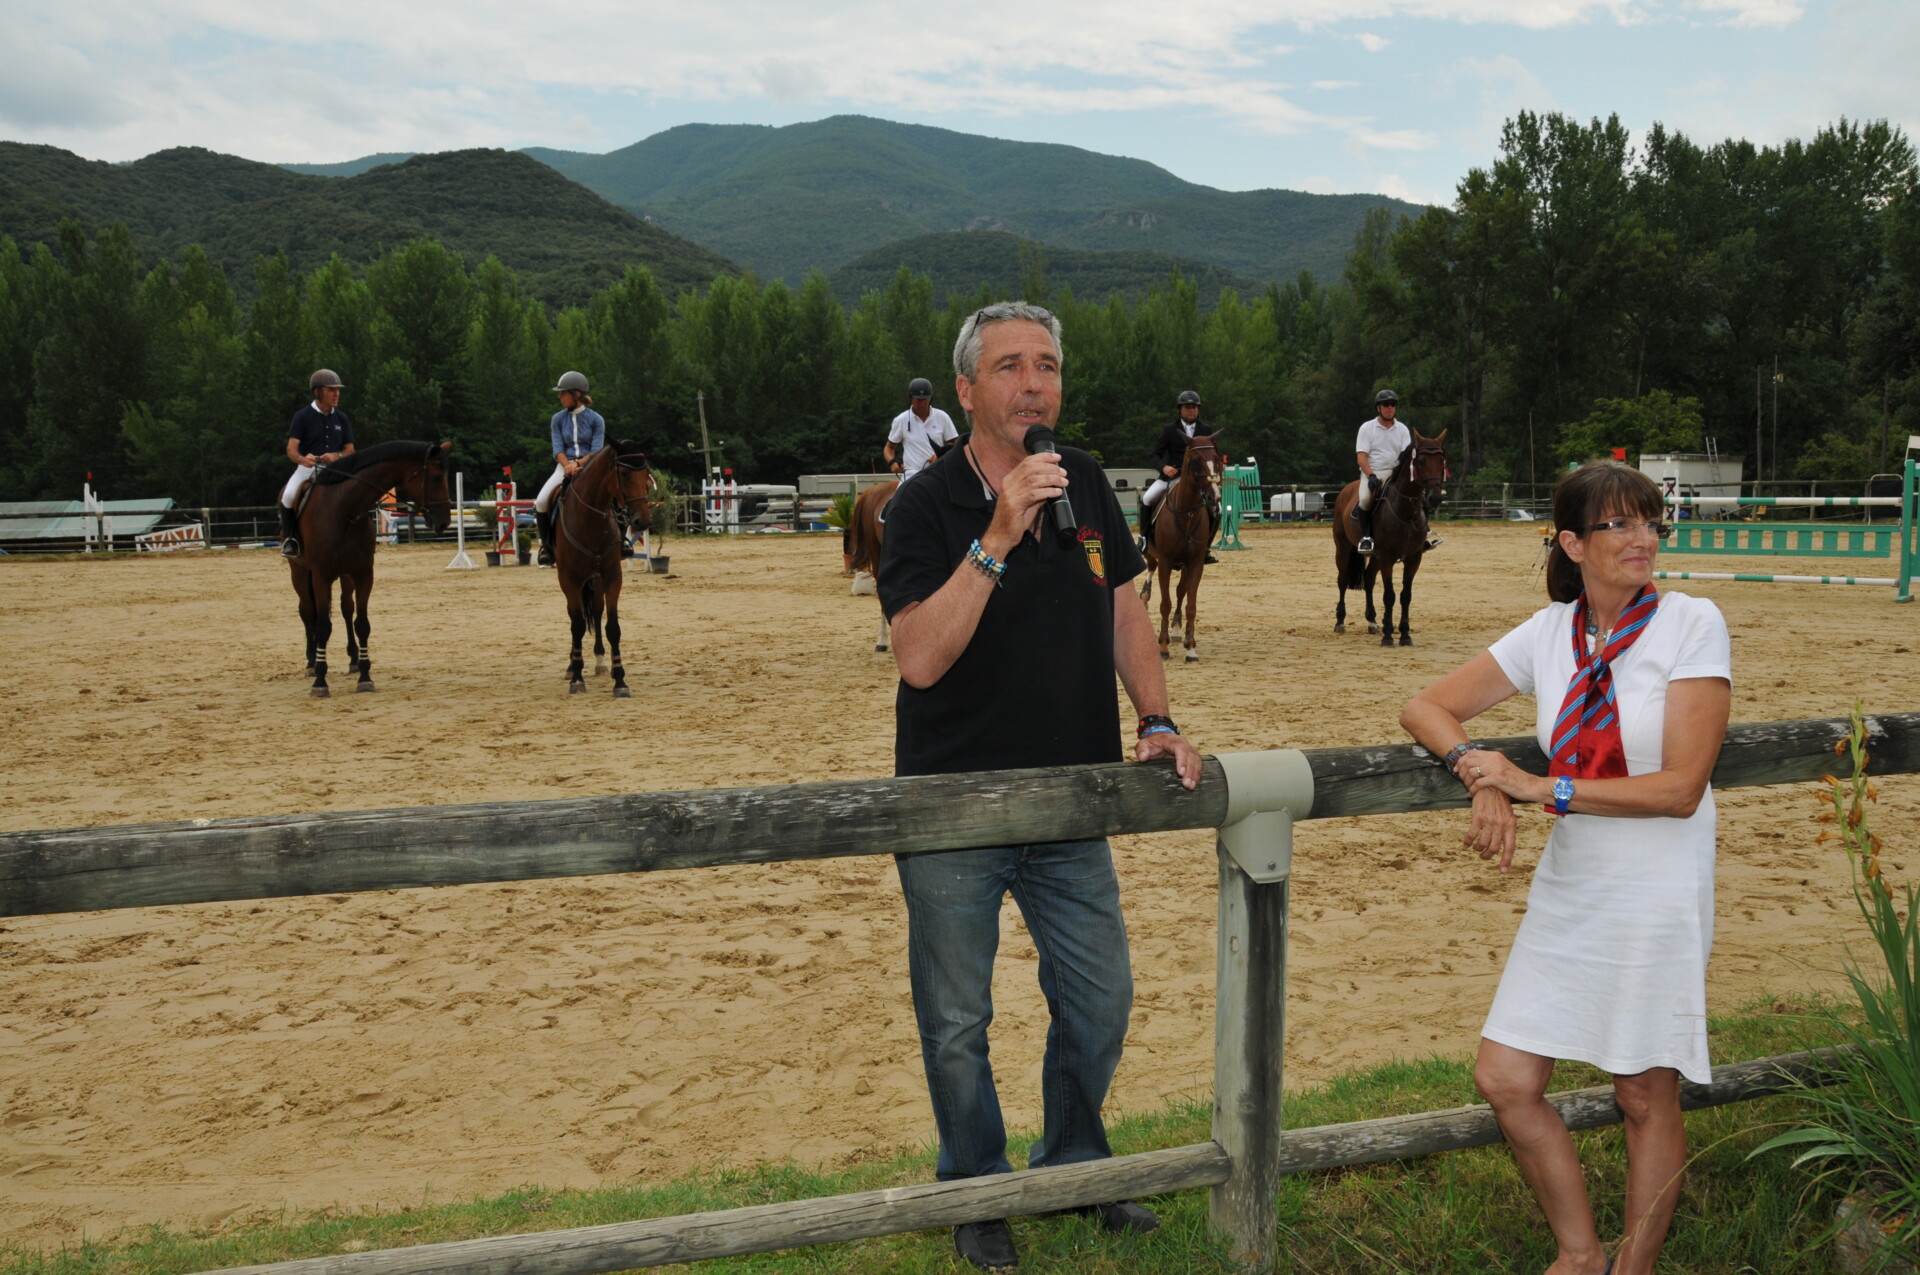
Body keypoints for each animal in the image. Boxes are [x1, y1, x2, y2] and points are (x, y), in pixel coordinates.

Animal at [286, 437, 451, 698]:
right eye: (435, 478)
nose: (444, 522)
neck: (345, 509)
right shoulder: (321, 576)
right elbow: (322, 626)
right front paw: (320, 681)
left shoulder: (363, 574)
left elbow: (362, 624)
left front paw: (365, 676)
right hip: (300, 572)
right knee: (307, 612)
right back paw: (312, 663)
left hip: (345, 576)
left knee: (346, 609)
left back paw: (353, 659)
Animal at [549, 437, 660, 698]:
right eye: (623, 473)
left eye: (646, 473)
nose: (643, 521)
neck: (589, 520)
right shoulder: (570, 580)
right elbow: (577, 625)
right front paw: (577, 678)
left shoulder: (612, 578)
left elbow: (613, 627)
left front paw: (619, 679)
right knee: (574, 617)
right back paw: (572, 665)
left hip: (596, 580)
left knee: (597, 612)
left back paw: (600, 662)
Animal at [1128, 433, 1221, 660]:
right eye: (1195, 460)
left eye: (1216, 458)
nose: (1214, 497)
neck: (1187, 512)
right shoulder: (1165, 561)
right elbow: (1165, 603)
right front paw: (1163, 647)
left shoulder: (1195, 563)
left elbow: (1190, 604)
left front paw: (1191, 649)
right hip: (1151, 553)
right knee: (1151, 569)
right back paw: (1144, 598)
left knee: (1180, 591)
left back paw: (1179, 633)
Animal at [1336, 430, 1443, 649]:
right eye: (1421, 461)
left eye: (1441, 460)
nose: (1435, 498)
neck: (1404, 511)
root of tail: (1346, 490)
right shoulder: (1387, 557)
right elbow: (1389, 595)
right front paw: (1388, 637)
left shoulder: (1414, 558)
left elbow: (1405, 596)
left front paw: (1404, 634)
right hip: (1343, 547)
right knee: (1342, 580)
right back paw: (1340, 622)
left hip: (1375, 557)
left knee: (1369, 579)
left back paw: (1373, 622)